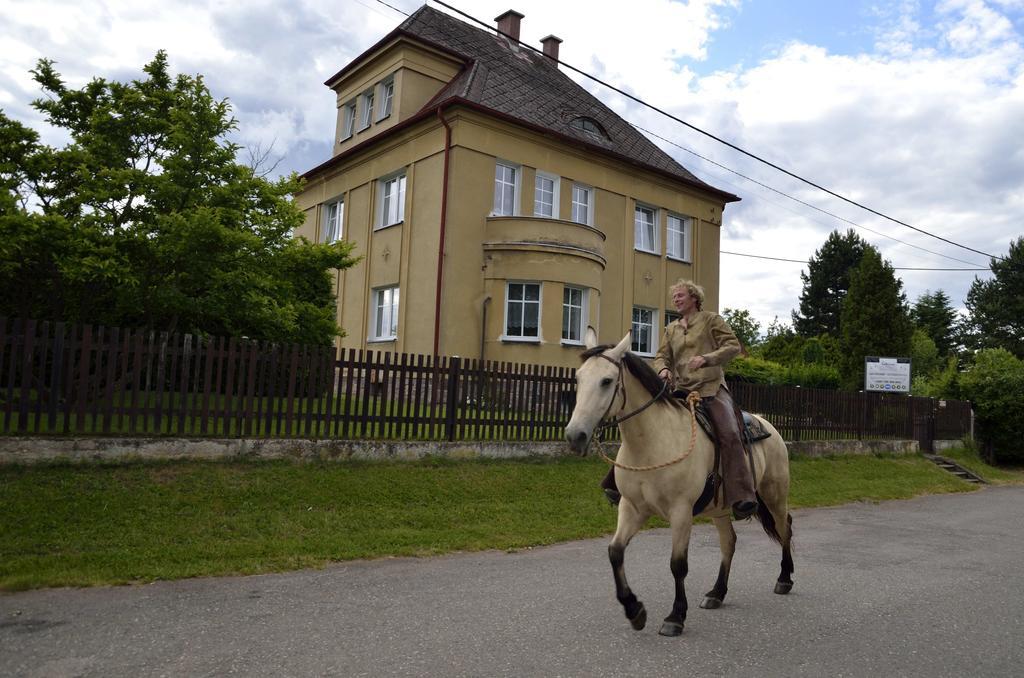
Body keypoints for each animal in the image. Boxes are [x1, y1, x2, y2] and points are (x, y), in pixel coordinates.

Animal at [565, 329, 794, 639]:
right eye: (578, 378)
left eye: (607, 381)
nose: (574, 436)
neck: (653, 442)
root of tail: (768, 425)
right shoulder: (632, 508)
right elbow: (615, 552)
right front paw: (634, 610)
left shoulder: (681, 512)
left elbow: (678, 564)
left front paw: (675, 617)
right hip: (721, 508)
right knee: (729, 542)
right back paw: (717, 593)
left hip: (774, 495)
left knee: (784, 530)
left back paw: (784, 578)